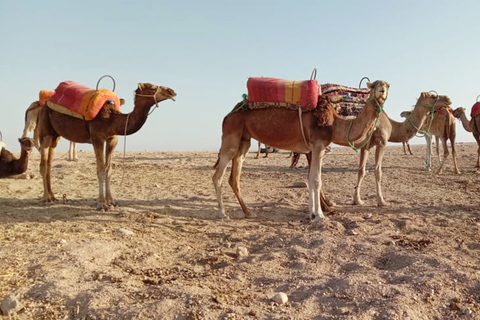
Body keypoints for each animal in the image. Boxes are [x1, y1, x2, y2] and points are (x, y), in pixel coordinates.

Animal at [36, 82, 176, 210]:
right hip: (45, 131)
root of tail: (46, 102)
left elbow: (109, 170)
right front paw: (101, 204)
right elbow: (101, 170)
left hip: (55, 135)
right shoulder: (97, 139)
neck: (111, 120)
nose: (172, 92)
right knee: (43, 164)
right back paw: (46, 197)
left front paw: (111, 201)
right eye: (152, 87)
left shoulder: (112, 139)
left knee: (49, 163)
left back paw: (52, 196)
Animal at [213, 79, 390, 222]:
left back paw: (248, 212)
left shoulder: (316, 149)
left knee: (234, 177)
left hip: (244, 140)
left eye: (387, 85)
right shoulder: (318, 146)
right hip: (231, 136)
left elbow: (311, 179)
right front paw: (320, 215)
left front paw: (312, 213)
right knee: (218, 175)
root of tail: (228, 114)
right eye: (374, 85)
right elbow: (316, 180)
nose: (382, 90)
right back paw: (222, 214)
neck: (334, 124)